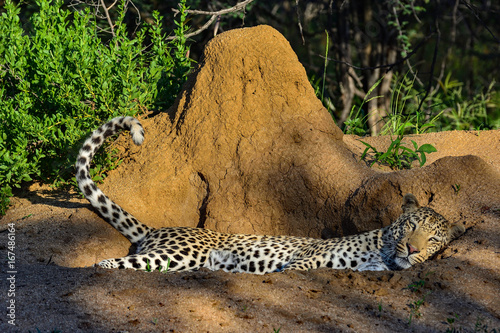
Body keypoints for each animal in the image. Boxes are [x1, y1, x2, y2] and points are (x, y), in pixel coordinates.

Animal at [76, 116, 466, 272]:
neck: (382, 252)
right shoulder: (305, 260)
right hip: (180, 254)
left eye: (433, 240)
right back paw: (103, 266)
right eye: (411, 227)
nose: (412, 249)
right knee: (113, 263)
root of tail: (158, 228)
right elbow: (295, 267)